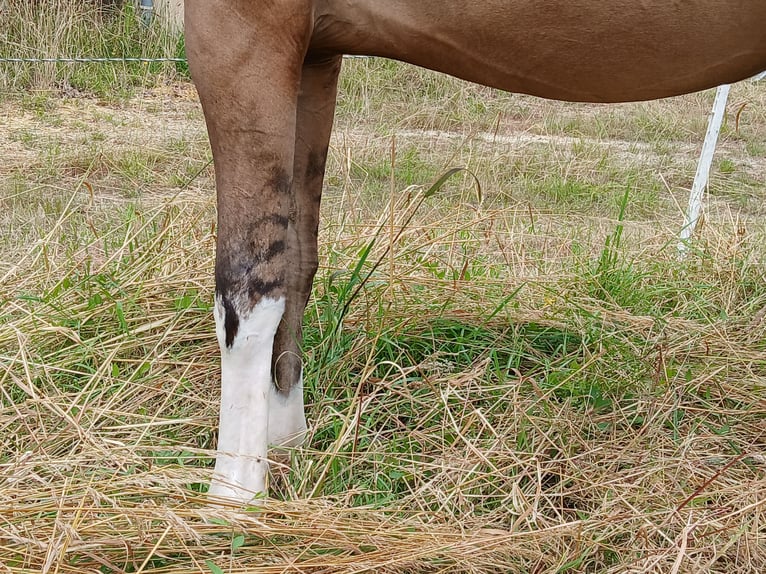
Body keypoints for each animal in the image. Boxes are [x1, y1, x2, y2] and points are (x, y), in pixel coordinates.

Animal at [184, 1, 766, 504]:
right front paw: (286, 447)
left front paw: (232, 500)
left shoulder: (245, 26)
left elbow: (247, 287)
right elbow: (297, 266)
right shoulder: (314, 49)